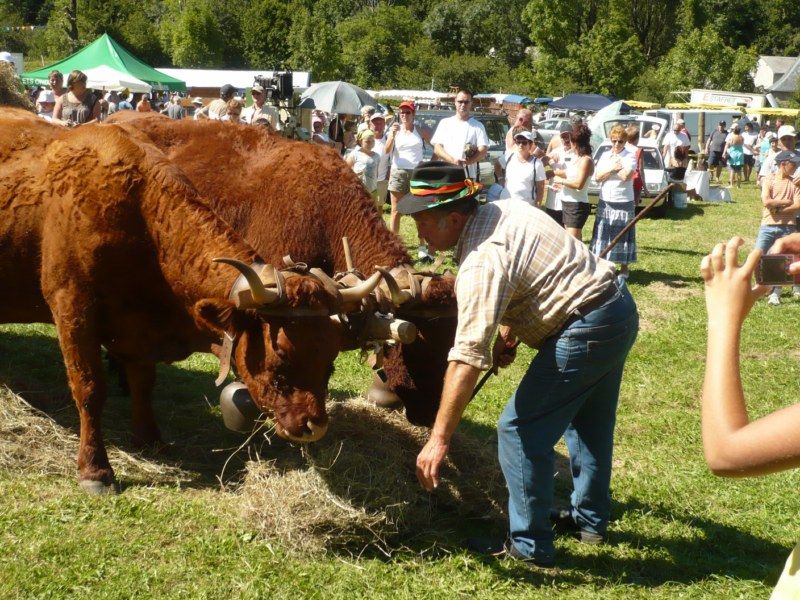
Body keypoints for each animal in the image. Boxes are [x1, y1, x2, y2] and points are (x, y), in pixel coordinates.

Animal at [0, 109, 384, 492]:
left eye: (330, 362)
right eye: (279, 365)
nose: (313, 426)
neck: (138, 213)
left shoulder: (137, 327)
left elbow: (144, 382)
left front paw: (150, 438)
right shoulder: (73, 311)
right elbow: (90, 389)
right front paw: (96, 470)